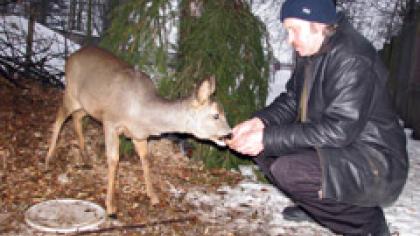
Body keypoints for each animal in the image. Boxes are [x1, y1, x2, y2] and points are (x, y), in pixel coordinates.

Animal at [45, 46, 233, 218]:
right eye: (216, 115)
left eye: (224, 113)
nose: (229, 133)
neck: (142, 113)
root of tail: (71, 56)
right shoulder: (110, 122)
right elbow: (114, 160)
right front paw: (110, 206)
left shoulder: (139, 135)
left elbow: (146, 158)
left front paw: (154, 197)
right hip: (71, 92)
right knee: (60, 117)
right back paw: (48, 158)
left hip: (87, 105)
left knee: (76, 117)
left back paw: (85, 158)